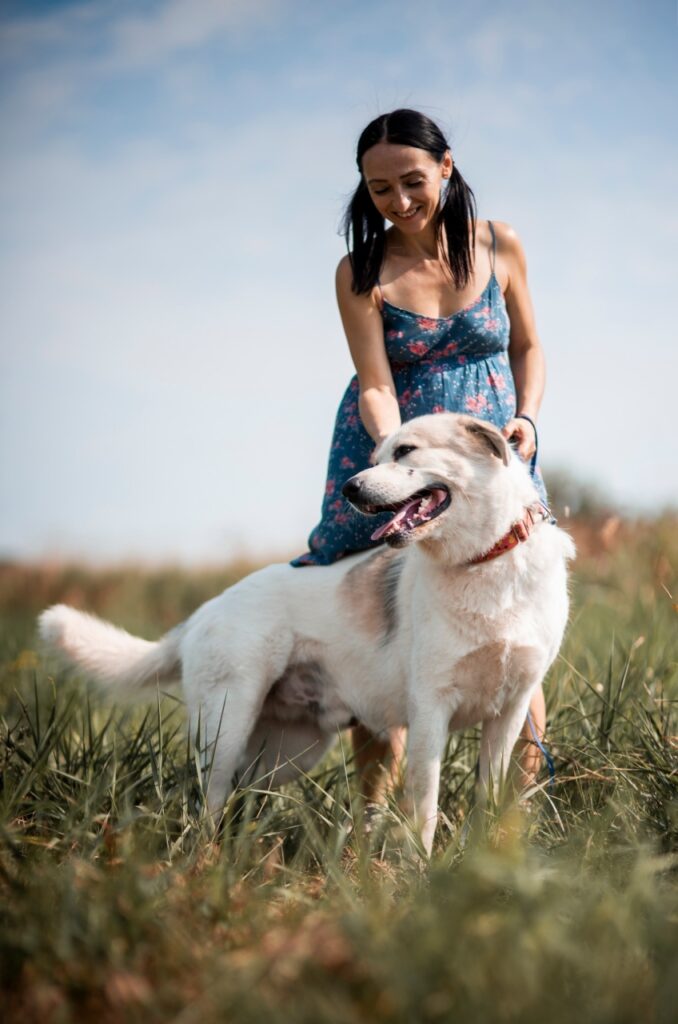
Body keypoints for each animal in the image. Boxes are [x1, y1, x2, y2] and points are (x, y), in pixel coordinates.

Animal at [39, 411, 577, 851]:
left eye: (406, 451)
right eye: (376, 456)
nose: (350, 490)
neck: (484, 562)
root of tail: (204, 611)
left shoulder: (510, 710)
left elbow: (491, 793)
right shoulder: (430, 710)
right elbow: (425, 803)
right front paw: (421, 871)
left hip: (283, 752)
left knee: (240, 796)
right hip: (225, 727)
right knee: (207, 801)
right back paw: (205, 861)